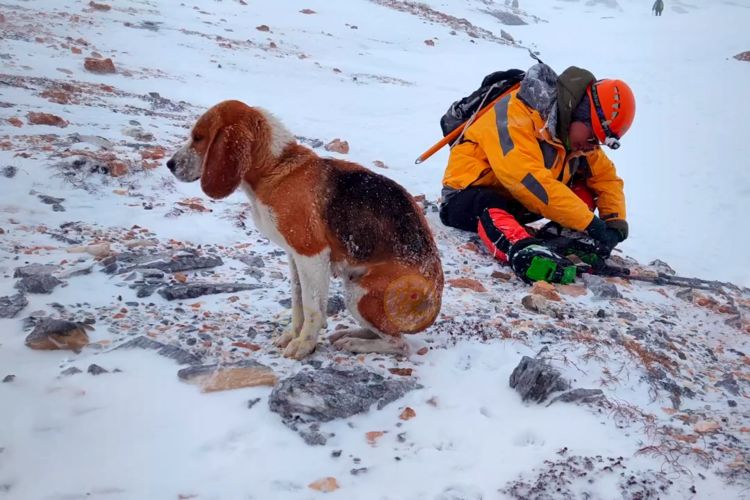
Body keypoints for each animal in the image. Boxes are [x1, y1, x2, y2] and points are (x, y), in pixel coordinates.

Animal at [167, 100, 444, 360]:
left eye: (199, 137)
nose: (169, 164)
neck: (276, 168)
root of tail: (435, 298)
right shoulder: (294, 256)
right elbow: (298, 301)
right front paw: (293, 334)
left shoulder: (311, 254)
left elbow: (312, 308)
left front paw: (304, 344)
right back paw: (349, 334)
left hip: (358, 294)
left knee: (400, 344)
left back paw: (356, 343)